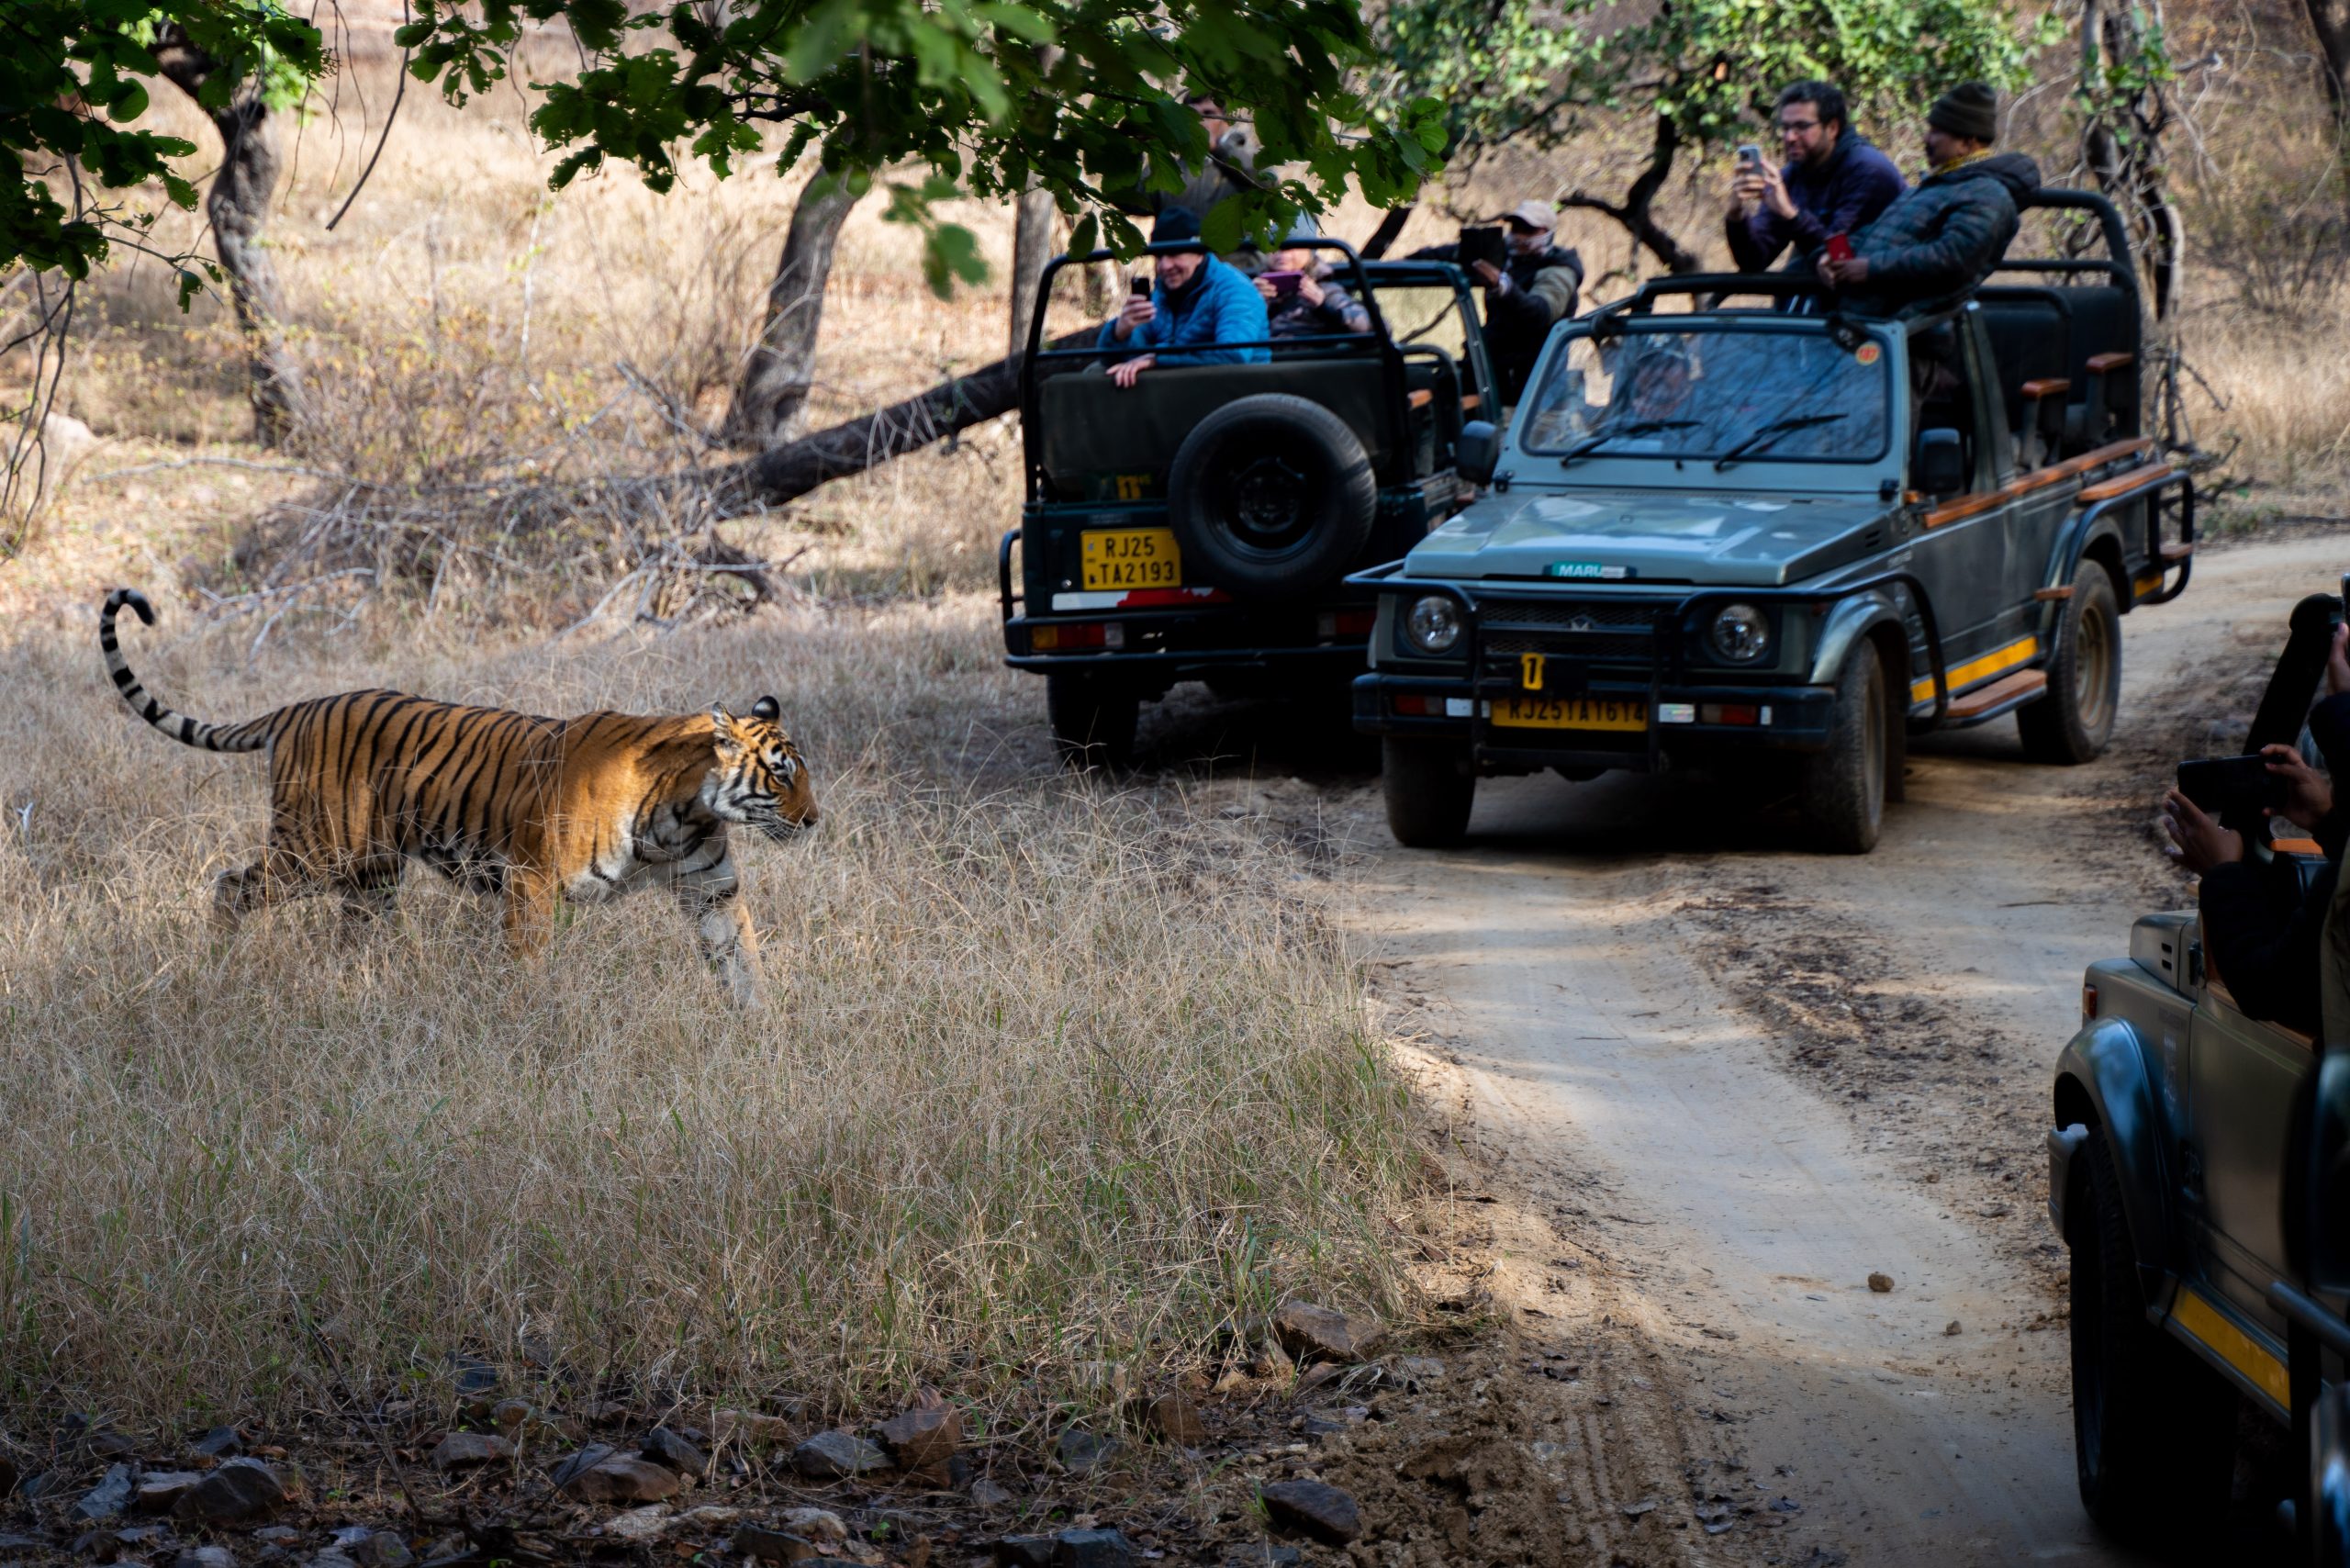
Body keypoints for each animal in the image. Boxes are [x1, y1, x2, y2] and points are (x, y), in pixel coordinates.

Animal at [99, 587, 818, 1005]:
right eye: (781, 774)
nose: (814, 822)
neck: (685, 810)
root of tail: (296, 707)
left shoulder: (711, 887)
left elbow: (743, 961)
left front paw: (765, 1035)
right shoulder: (531, 880)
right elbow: (530, 967)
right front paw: (535, 1027)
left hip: (372, 876)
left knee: (346, 937)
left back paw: (348, 993)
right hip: (316, 850)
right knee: (230, 886)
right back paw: (216, 968)